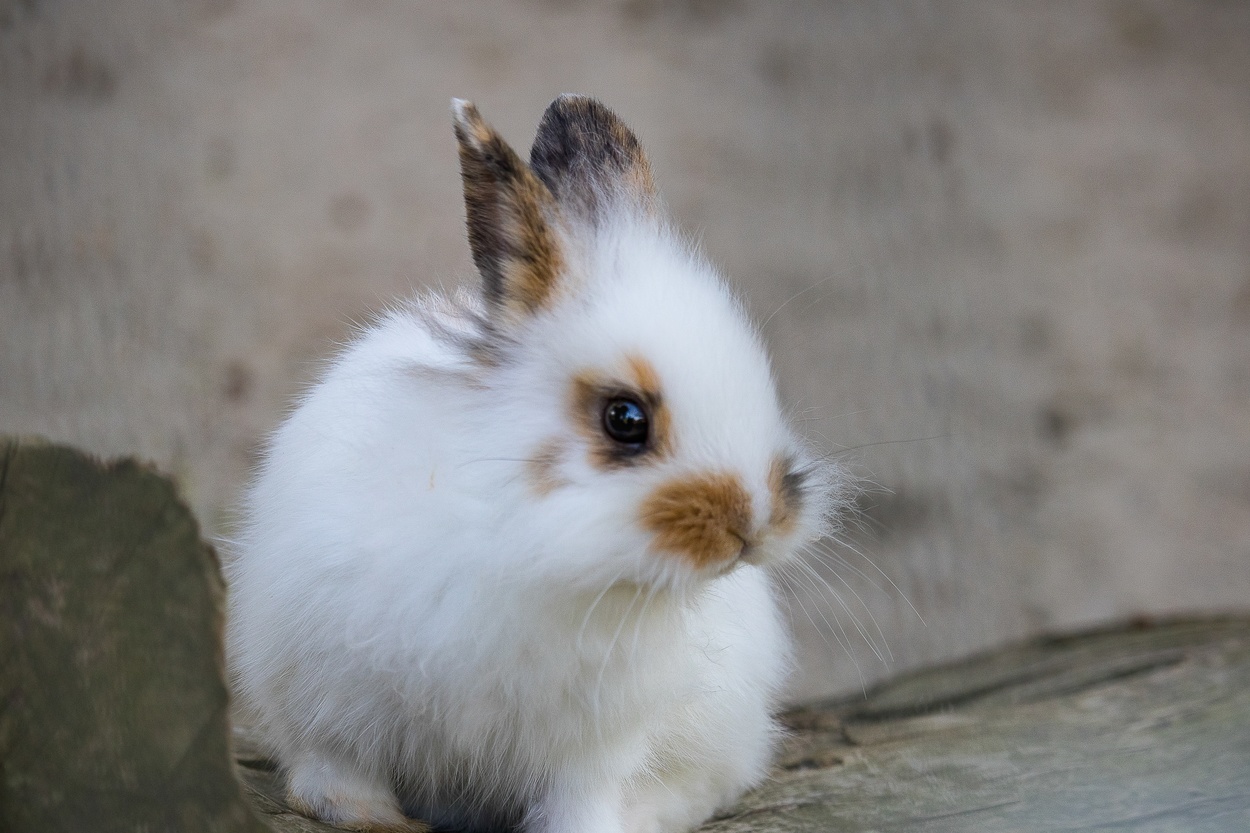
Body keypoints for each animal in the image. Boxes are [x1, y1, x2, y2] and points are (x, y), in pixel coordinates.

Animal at [227, 97, 850, 830]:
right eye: (625, 418)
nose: (752, 526)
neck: (519, 535)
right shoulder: (329, 694)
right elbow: (336, 767)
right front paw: (368, 816)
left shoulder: (597, 738)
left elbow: (582, 793)